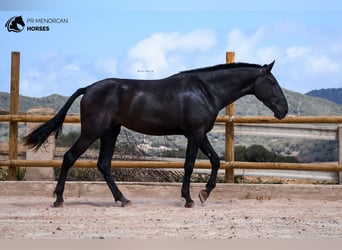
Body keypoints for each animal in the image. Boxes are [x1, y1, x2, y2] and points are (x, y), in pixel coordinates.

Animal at [23, 61, 288, 208]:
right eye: (273, 83)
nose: (284, 110)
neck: (205, 90)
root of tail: (88, 88)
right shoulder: (195, 134)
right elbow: (190, 165)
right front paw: (189, 199)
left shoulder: (200, 134)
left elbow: (214, 160)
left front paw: (204, 193)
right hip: (93, 131)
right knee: (69, 157)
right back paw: (59, 199)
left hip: (110, 132)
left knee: (104, 164)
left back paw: (123, 199)